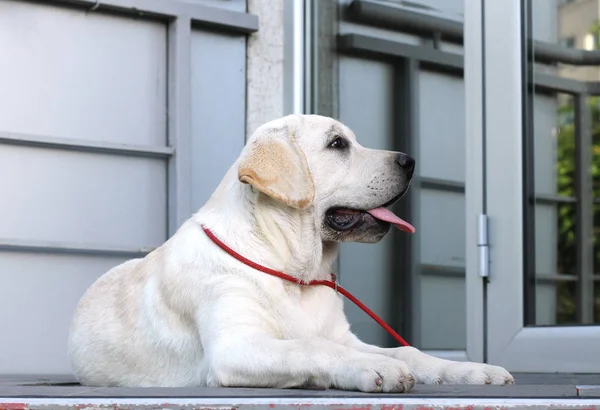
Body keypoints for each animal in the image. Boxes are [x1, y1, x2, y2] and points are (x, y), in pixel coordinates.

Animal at [68, 114, 512, 390]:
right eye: (338, 144)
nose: (410, 161)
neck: (289, 267)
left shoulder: (342, 335)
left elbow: (410, 351)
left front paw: (471, 370)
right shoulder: (236, 348)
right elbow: (311, 347)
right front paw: (375, 367)